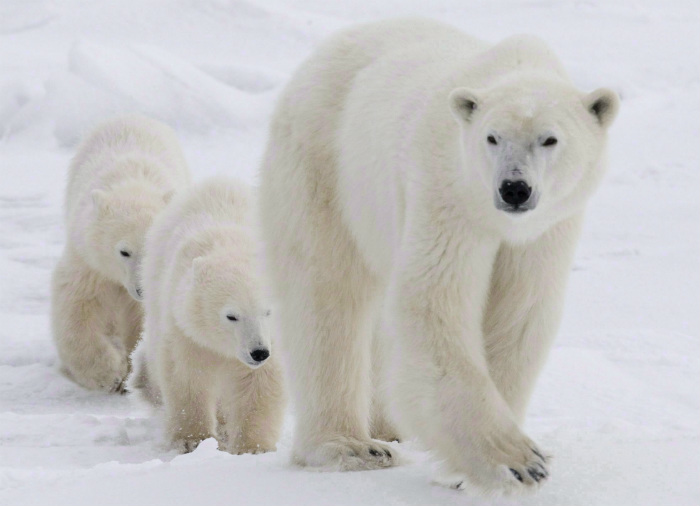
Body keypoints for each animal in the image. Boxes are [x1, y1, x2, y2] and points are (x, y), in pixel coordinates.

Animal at [51, 114, 191, 392]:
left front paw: (128, 373)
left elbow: (142, 318)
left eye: (152, 249)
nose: (141, 290)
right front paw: (108, 373)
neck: (133, 184)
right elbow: (76, 302)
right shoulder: (88, 258)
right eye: (124, 251)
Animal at [130, 178, 286, 454]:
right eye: (231, 316)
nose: (258, 352)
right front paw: (192, 440)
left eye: (268, 311)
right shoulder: (186, 328)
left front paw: (253, 447)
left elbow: (260, 383)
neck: (233, 243)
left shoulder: (273, 340)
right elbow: (187, 376)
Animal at [260, 17, 620, 492]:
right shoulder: (448, 191)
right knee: (327, 293)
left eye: (550, 139)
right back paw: (352, 446)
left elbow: (519, 316)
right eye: (491, 137)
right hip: (326, 163)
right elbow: (434, 303)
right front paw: (518, 461)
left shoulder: (545, 231)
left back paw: (387, 427)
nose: (514, 188)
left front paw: (464, 472)